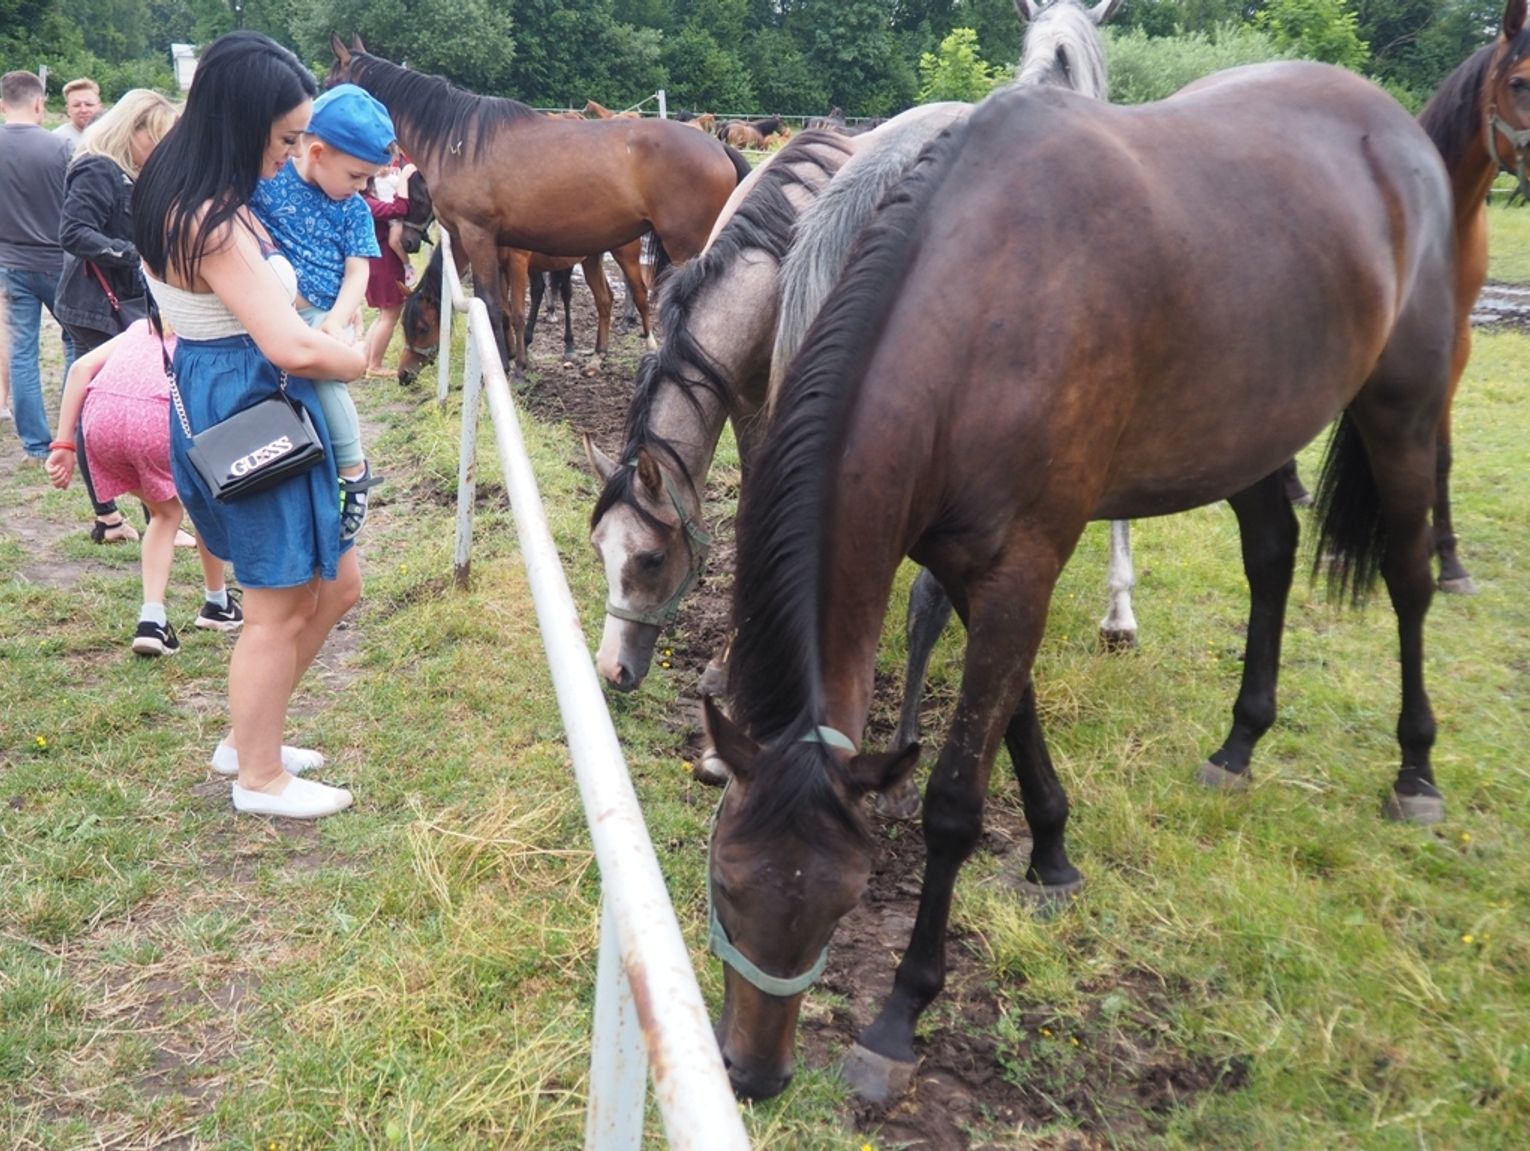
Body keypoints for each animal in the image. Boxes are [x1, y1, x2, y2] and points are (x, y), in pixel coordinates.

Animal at [328, 34, 752, 368]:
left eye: (331, 82)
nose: (405, 374)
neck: (456, 140)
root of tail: (718, 147)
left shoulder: (478, 237)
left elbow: (492, 304)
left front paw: (504, 368)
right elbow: (499, 306)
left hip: (683, 250)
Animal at [703, 65, 1456, 1108]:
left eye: (848, 899)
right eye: (726, 881)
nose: (751, 1073)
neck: (983, 310)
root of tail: (1396, 124)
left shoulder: (1025, 565)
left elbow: (955, 800)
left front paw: (900, 1016)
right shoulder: (974, 568)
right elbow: (1016, 716)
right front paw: (1054, 853)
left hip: (1404, 408)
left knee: (1409, 578)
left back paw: (1415, 769)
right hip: (1251, 431)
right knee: (1270, 556)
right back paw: (1239, 744)